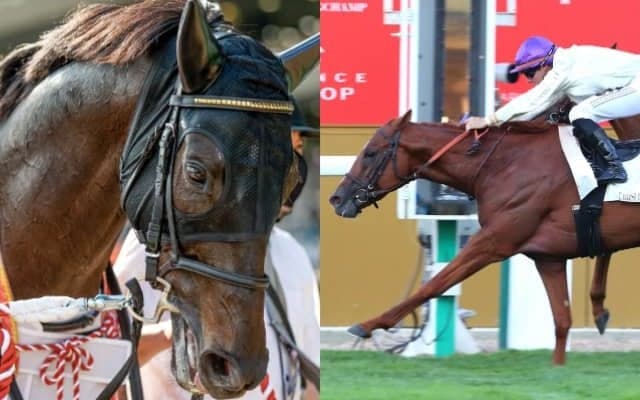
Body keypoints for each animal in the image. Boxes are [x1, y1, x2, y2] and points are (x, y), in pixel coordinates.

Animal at [329, 110, 640, 365]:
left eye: (370, 153)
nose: (337, 198)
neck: (505, 165)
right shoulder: (547, 257)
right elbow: (562, 320)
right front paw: (558, 366)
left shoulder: (493, 241)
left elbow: (435, 284)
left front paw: (369, 324)